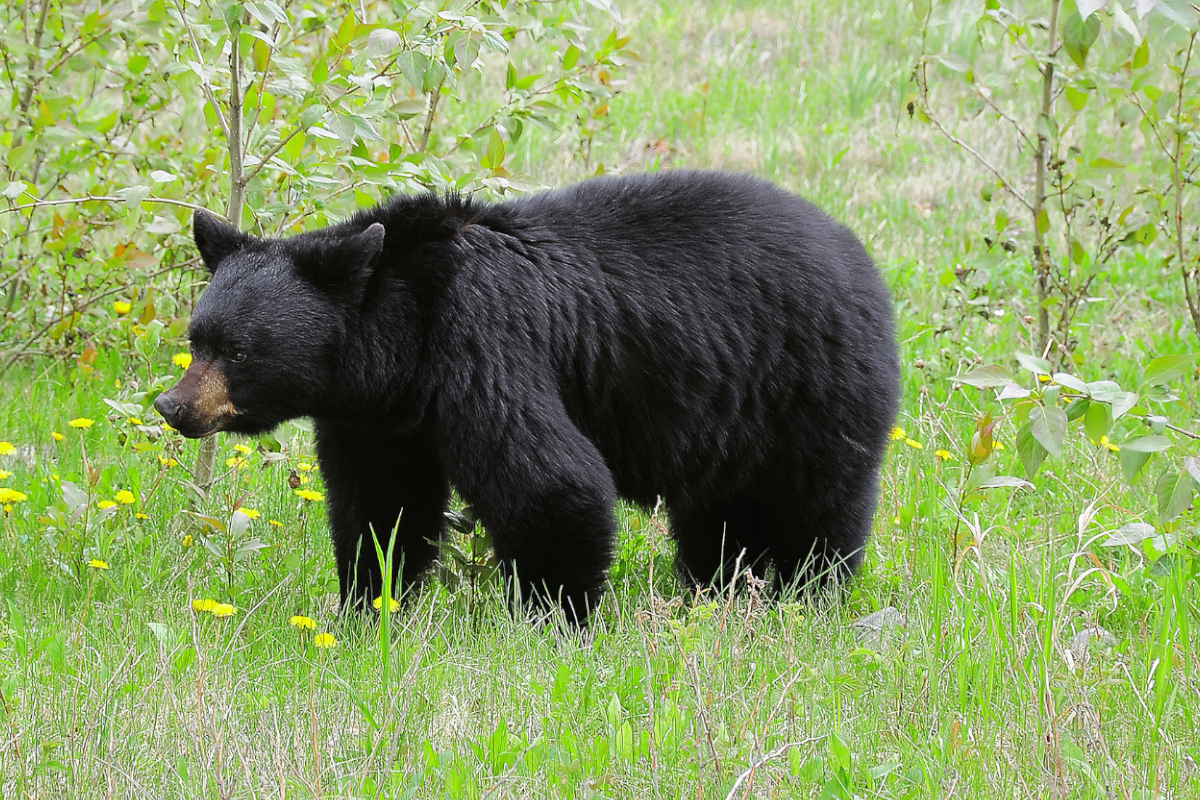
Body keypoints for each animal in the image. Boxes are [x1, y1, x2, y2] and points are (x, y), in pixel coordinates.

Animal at [154, 170, 897, 618]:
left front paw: (555, 617)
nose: (173, 406)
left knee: (815, 504)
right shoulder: (379, 419)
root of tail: (858, 252)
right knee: (718, 512)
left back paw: (805, 592)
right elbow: (380, 506)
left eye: (239, 350)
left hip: (809, 386)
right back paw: (716, 587)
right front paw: (369, 606)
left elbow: (550, 482)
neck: (402, 336)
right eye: (197, 338)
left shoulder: (485, 341)